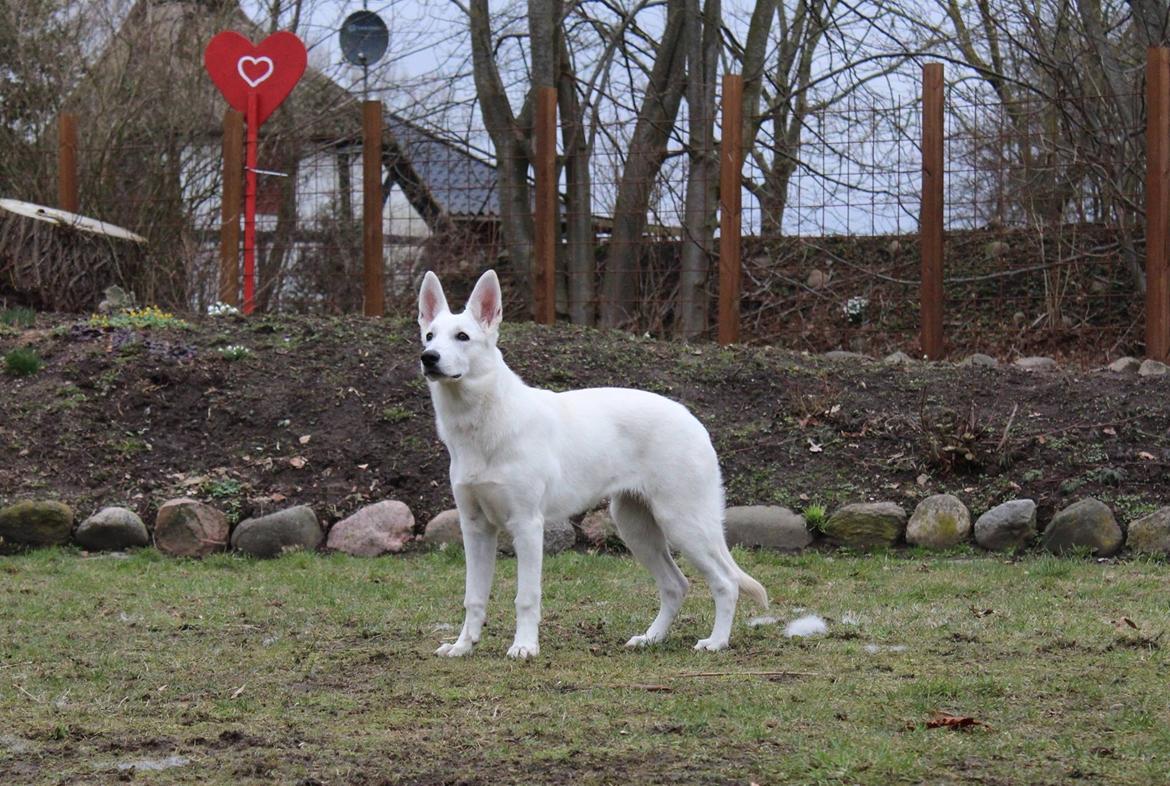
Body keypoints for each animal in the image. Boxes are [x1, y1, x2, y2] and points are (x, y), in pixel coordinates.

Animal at [418, 270, 767, 655]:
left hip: (683, 523)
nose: (428, 357)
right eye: (429, 335)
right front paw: (463, 646)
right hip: (636, 527)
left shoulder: (527, 525)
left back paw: (716, 641)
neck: (482, 423)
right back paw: (650, 638)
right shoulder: (476, 528)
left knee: (725, 582)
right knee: (676, 585)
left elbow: (526, 597)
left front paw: (524, 647)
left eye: (463, 337)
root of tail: (693, 420)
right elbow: (473, 597)